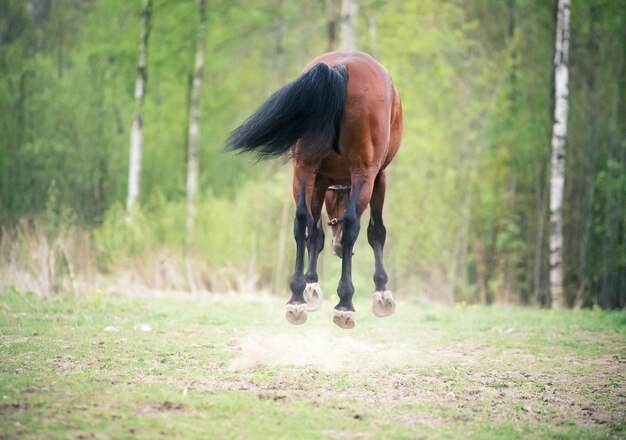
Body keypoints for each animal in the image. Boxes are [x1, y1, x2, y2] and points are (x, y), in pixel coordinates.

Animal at [227, 50, 402, 326]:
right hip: (364, 172)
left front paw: (309, 286)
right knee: (352, 225)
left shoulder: (320, 181)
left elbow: (315, 232)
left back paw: (296, 298)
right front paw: (382, 292)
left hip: (303, 168)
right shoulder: (379, 177)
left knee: (301, 221)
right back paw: (345, 303)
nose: (338, 248)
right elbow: (376, 231)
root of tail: (340, 68)